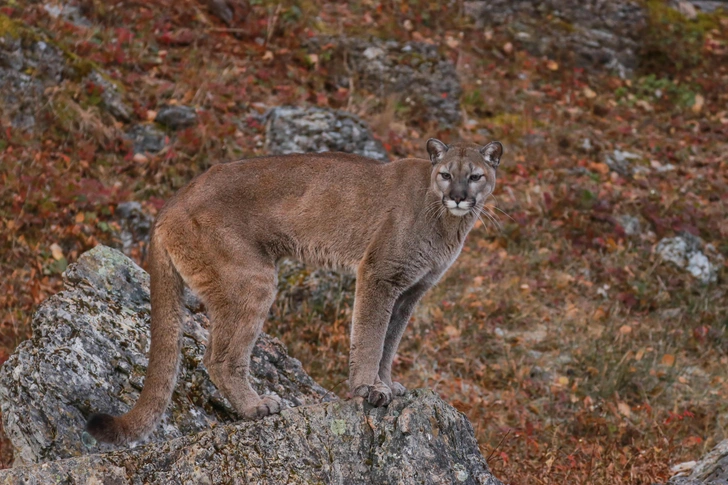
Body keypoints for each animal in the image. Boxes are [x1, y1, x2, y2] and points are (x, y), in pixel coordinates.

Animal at [85, 138, 504, 444]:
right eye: (446, 174)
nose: (459, 196)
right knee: (219, 358)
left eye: (475, 176)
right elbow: (370, 337)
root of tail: (171, 202)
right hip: (252, 279)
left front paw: (386, 384)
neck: (446, 222)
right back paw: (256, 407)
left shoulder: (409, 293)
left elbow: (390, 341)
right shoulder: (381, 276)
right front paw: (368, 388)